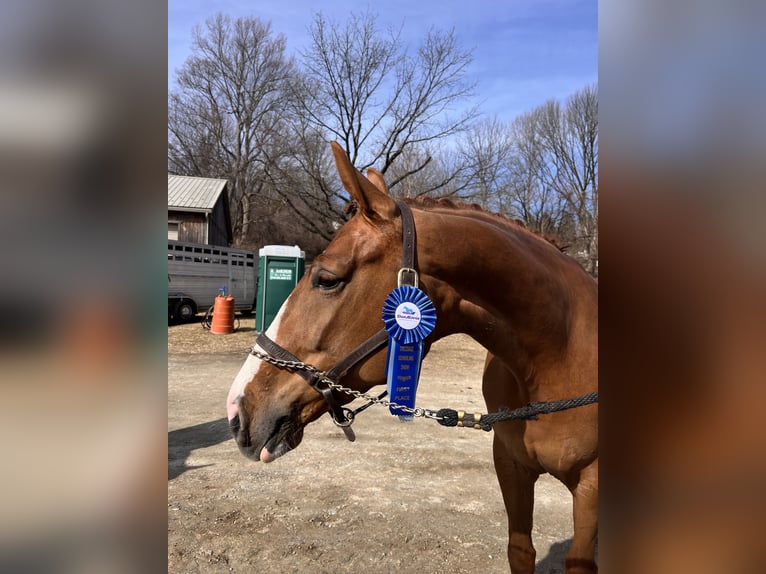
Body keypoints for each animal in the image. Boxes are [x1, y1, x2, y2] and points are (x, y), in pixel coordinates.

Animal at [228, 142, 600, 572]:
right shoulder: (511, 466)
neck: (557, 357)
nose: (238, 410)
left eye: (327, 279)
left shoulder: (591, 487)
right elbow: (520, 550)